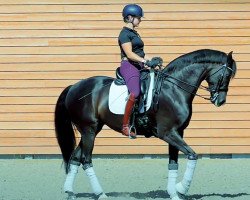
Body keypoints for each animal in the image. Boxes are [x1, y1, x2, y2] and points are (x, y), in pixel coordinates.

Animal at [54, 48, 236, 200]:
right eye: (226, 76)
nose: (220, 101)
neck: (174, 89)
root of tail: (74, 86)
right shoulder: (167, 133)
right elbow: (193, 155)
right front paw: (181, 189)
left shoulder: (177, 132)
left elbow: (173, 163)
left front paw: (174, 193)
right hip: (89, 130)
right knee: (86, 159)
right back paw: (100, 194)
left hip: (91, 130)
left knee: (76, 157)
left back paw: (70, 191)